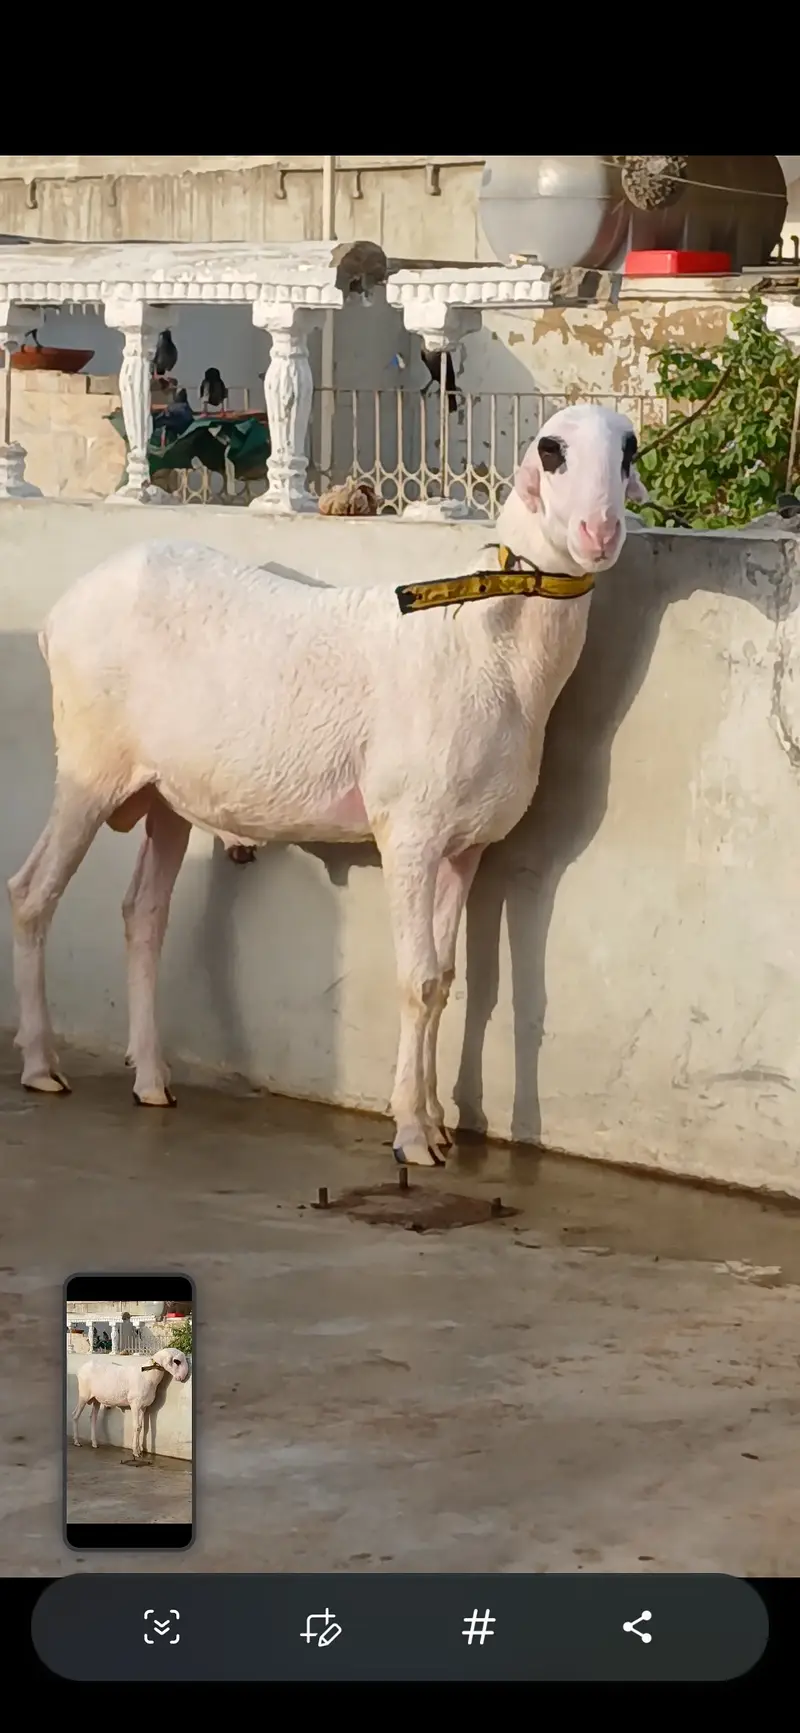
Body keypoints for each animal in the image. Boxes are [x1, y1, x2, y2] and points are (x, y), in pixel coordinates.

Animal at [7, 403, 647, 1167]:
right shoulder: (409, 829)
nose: (600, 532)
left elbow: (447, 982)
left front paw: (437, 1120)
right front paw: (411, 1134)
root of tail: (62, 610)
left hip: (167, 795)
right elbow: (417, 979)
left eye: (629, 450)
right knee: (33, 894)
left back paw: (153, 1079)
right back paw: (41, 1064)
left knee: (144, 915)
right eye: (552, 452)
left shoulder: (467, 845)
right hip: (88, 765)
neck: (486, 635)